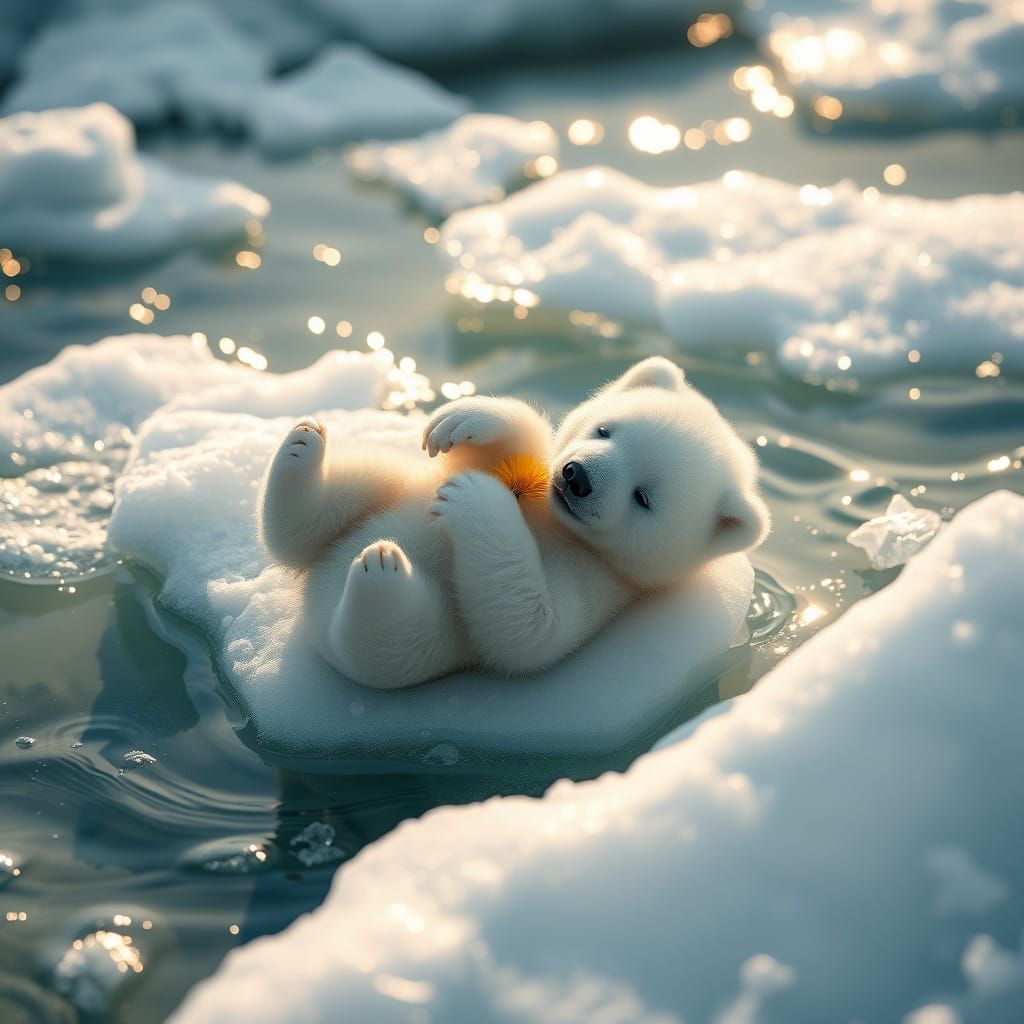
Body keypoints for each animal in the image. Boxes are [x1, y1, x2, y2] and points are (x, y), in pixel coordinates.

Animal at [258, 356, 769, 690]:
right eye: (606, 430)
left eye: (643, 497)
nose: (577, 477)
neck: (555, 522)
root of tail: (314, 596)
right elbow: (517, 447)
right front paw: (468, 418)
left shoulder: (602, 582)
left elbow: (529, 627)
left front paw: (474, 499)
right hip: (392, 488)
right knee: (350, 488)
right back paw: (302, 449)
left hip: (415, 641)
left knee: (387, 635)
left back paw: (381, 569)